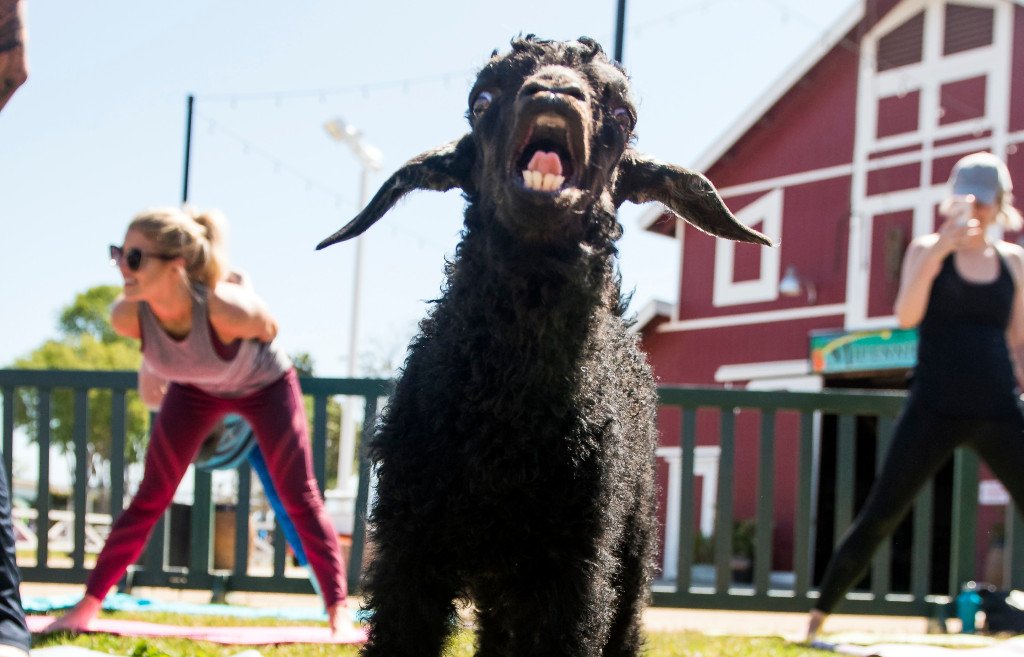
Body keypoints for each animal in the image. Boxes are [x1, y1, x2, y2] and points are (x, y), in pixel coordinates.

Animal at [319, 35, 770, 657]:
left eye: (623, 115)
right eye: (481, 100)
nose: (554, 90)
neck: (506, 419)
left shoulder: (572, 566)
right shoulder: (409, 549)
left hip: (628, 551)